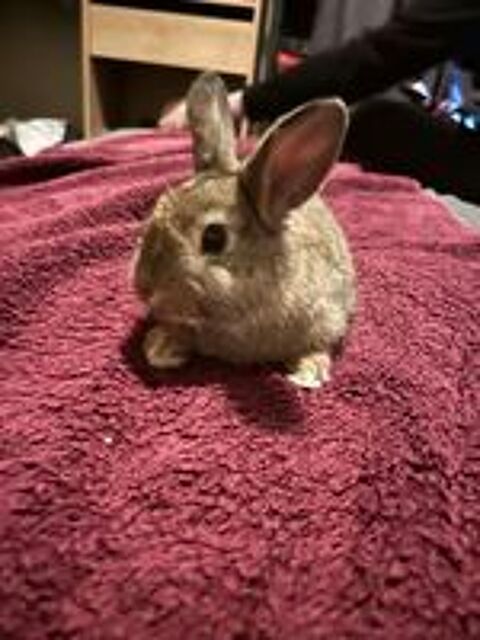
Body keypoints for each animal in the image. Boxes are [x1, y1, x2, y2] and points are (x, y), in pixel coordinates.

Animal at [132, 71, 356, 388]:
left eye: (214, 238)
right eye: (156, 208)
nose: (144, 287)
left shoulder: (327, 314)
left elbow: (318, 344)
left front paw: (308, 373)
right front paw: (160, 347)